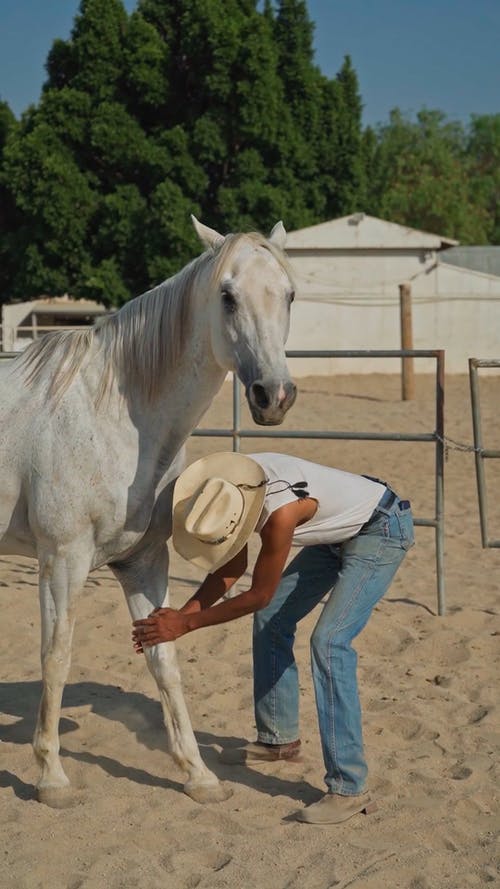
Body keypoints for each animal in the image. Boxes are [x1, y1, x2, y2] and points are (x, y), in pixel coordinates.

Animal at [0, 215, 296, 804]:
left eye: (290, 294)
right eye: (227, 296)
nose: (273, 395)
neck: (110, 414)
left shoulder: (143, 562)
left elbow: (165, 660)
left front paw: (199, 776)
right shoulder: (62, 559)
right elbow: (56, 656)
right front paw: (51, 778)